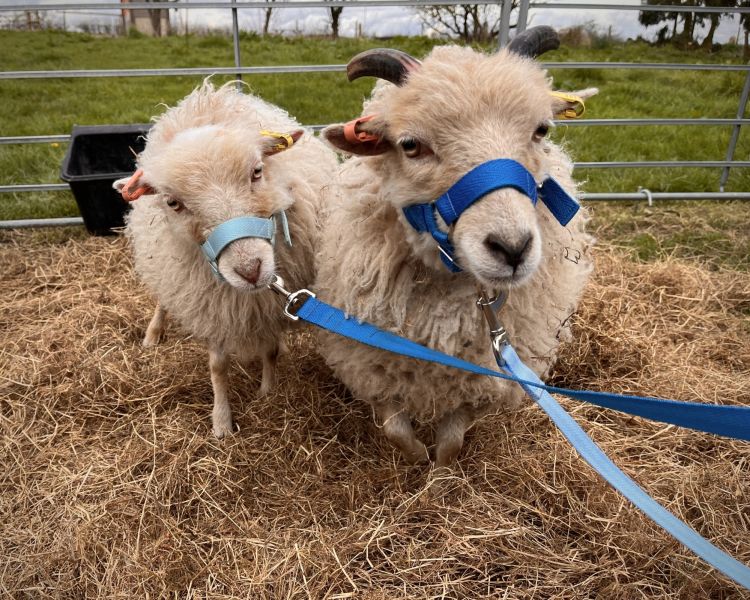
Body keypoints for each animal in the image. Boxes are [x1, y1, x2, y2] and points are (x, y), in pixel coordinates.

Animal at [115, 81, 337, 438]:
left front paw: (268, 392)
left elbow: (270, 350)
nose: (250, 270)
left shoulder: (269, 307)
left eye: (257, 172)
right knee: (163, 298)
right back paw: (153, 333)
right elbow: (218, 366)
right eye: (173, 202)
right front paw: (221, 421)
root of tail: (208, 94)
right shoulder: (211, 306)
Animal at [315, 27, 597, 468]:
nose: (512, 248)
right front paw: (416, 460)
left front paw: (440, 472)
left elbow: (452, 440)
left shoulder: (482, 382)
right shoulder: (369, 365)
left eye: (542, 131)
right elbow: (396, 430)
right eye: (411, 145)